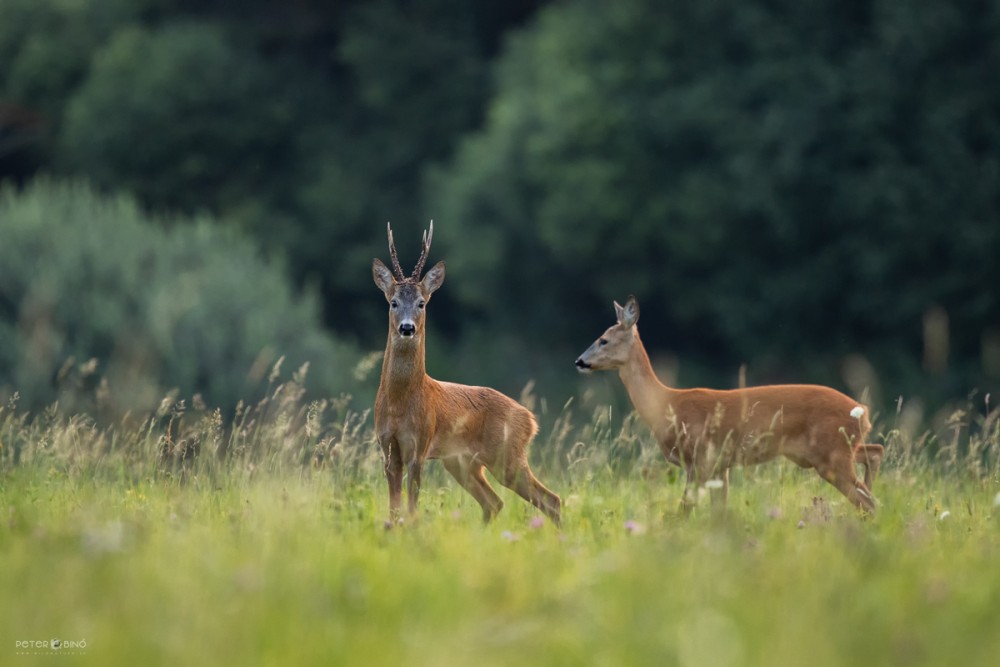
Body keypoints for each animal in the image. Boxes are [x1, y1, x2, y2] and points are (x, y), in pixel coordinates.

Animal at [376, 224, 564, 528]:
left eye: (421, 303)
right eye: (393, 302)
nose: (407, 328)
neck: (398, 403)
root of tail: (531, 420)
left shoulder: (419, 445)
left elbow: (412, 508)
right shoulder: (388, 449)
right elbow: (393, 512)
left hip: (506, 456)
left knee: (551, 499)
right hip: (462, 462)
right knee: (495, 502)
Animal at [580, 294, 884, 516]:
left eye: (603, 339)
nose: (579, 361)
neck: (666, 404)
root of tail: (863, 412)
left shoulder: (700, 458)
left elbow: (684, 509)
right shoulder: (719, 467)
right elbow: (718, 511)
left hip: (830, 455)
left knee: (869, 501)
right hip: (833, 451)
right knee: (875, 455)